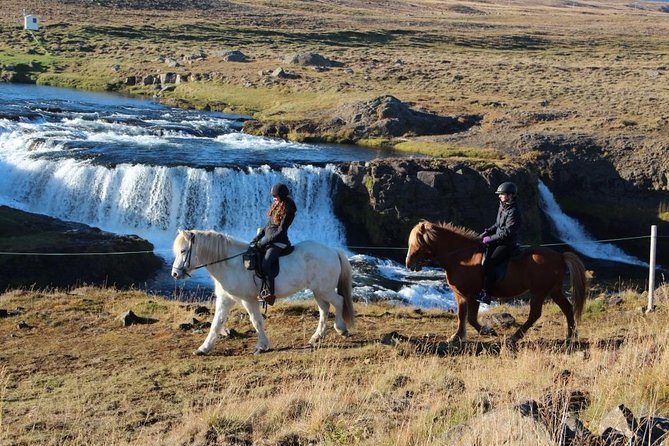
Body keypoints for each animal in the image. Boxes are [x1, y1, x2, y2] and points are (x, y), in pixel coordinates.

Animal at [171, 232, 354, 354]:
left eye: (183, 251)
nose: (175, 274)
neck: (230, 263)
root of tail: (332, 250)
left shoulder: (248, 300)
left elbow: (256, 321)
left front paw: (261, 345)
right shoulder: (225, 299)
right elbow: (217, 323)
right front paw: (204, 348)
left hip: (325, 289)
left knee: (338, 301)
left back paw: (341, 329)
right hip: (318, 290)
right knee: (324, 308)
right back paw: (317, 336)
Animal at [402, 221, 584, 346]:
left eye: (417, 242)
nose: (409, 264)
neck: (462, 258)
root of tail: (560, 256)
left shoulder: (471, 294)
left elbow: (469, 317)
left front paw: (482, 331)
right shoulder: (462, 294)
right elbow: (464, 316)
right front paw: (461, 336)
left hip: (539, 292)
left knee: (535, 314)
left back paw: (514, 337)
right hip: (553, 290)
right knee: (567, 309)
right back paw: (570, 336)